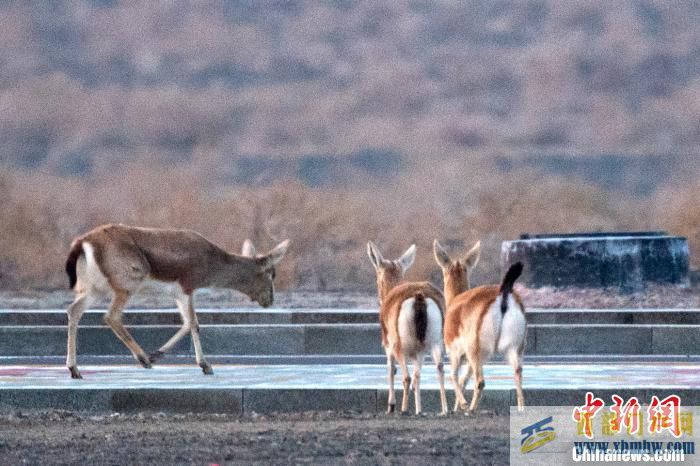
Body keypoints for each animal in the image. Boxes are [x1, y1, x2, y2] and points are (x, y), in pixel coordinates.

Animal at [63, 224, 288, 380]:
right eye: (272, 273)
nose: (269, 300)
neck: (210, 263)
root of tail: (83, 243)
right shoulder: (187, 287)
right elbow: (195, 324)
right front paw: (206, 365)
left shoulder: (178, 294)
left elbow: (187, 323)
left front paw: (157, 353)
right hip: (127, 283)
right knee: (111, 316)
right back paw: (143, 360)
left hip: (95, 288)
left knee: (74, 310)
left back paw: (75, 369)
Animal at [366, 242, 448, 414]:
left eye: (378, 276)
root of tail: (419, 297)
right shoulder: (420, 352)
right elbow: (417, 376)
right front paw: (418, 407)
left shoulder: (388, 345)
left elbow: (391, 369)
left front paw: (391, 406)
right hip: (434, 343)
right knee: (437, 369)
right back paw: (443, 409)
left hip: (400, 345)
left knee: (407, 377)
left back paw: (404, 409)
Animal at [432, 242, 524, 414]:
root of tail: (503, 295)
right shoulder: (471, 359)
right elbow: (464, 379)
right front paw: (458, 407)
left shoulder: (456, 353)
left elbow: (454, 376)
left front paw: (462, 405)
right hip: (514, 349)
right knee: (518, 374)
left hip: (475, 351)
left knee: (480, 381)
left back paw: (471, 409)